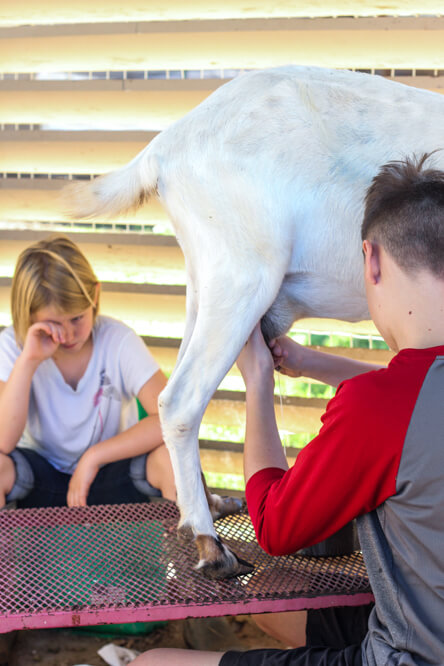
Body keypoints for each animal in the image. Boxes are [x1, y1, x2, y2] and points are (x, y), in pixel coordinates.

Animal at [64, 65, 444, 580]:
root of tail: (165, 147)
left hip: (203, 280)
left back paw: (205, 509)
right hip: (243, 273)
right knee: (180, 400)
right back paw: (212, 548)